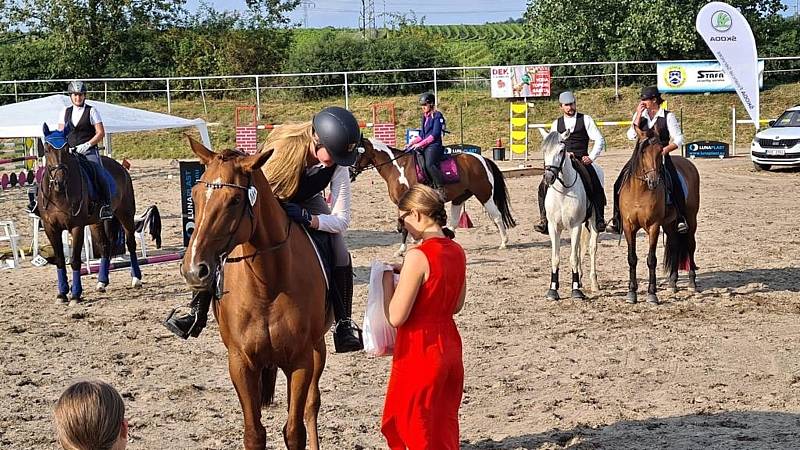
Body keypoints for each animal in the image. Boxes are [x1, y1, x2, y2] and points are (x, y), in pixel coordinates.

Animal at [181, 137, 332, 450]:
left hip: (317, 349)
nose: (193, 270)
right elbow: (254, 434)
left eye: (235, 200)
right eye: (195, 195)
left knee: (312, 404)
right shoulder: (241, 363)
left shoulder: (300, 361)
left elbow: (294, 431)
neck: (267, 285)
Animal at [352, 137, 516, 253]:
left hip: (484, 194)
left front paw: (402, 250)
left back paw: (504, 242)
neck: (397, 167)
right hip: (460, 197)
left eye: (357, 152)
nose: (350, 172)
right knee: (454, 221)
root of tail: (482, 159)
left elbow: (405, 226)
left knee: (497, 216)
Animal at [536, 128, 600, 300]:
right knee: (579, 250)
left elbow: (573, 258)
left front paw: (576, 289)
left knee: (591, 248)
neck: (563, 191)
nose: (549, 177)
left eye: (561, 150)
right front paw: (553, 289)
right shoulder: (553, 227)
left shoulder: (575, 226)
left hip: (592, 222)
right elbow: (556, 258)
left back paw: (594, 283)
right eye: (544, 150)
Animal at [620, 126, 696, 304]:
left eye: (660, 151)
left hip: (691, 220)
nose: (653, 181)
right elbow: (632, 258)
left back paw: (692, 282)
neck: (639, 191)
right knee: (675, 245)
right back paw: (673, 283)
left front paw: (652, 294)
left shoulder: (653, 226)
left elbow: (651, 259)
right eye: (642, 151)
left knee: (690, 246)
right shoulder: (628, 227)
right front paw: (631, 292)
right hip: (669, 224)